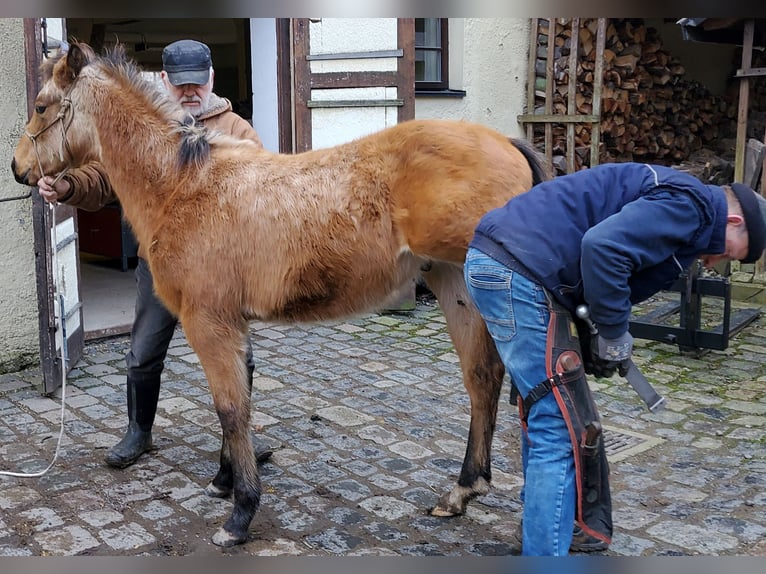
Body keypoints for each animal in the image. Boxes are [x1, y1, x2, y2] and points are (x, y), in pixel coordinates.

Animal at [12, 42, 552, 548]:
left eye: (41, 105)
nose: (19, 168)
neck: (182, 184)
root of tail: (508, 142)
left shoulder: (208, 323)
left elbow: (231, 409)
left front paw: (240, 514)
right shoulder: (232, 323)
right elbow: (239, 401)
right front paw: (225, 481)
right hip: (456, 285)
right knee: (482, 378)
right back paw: (462, 491)